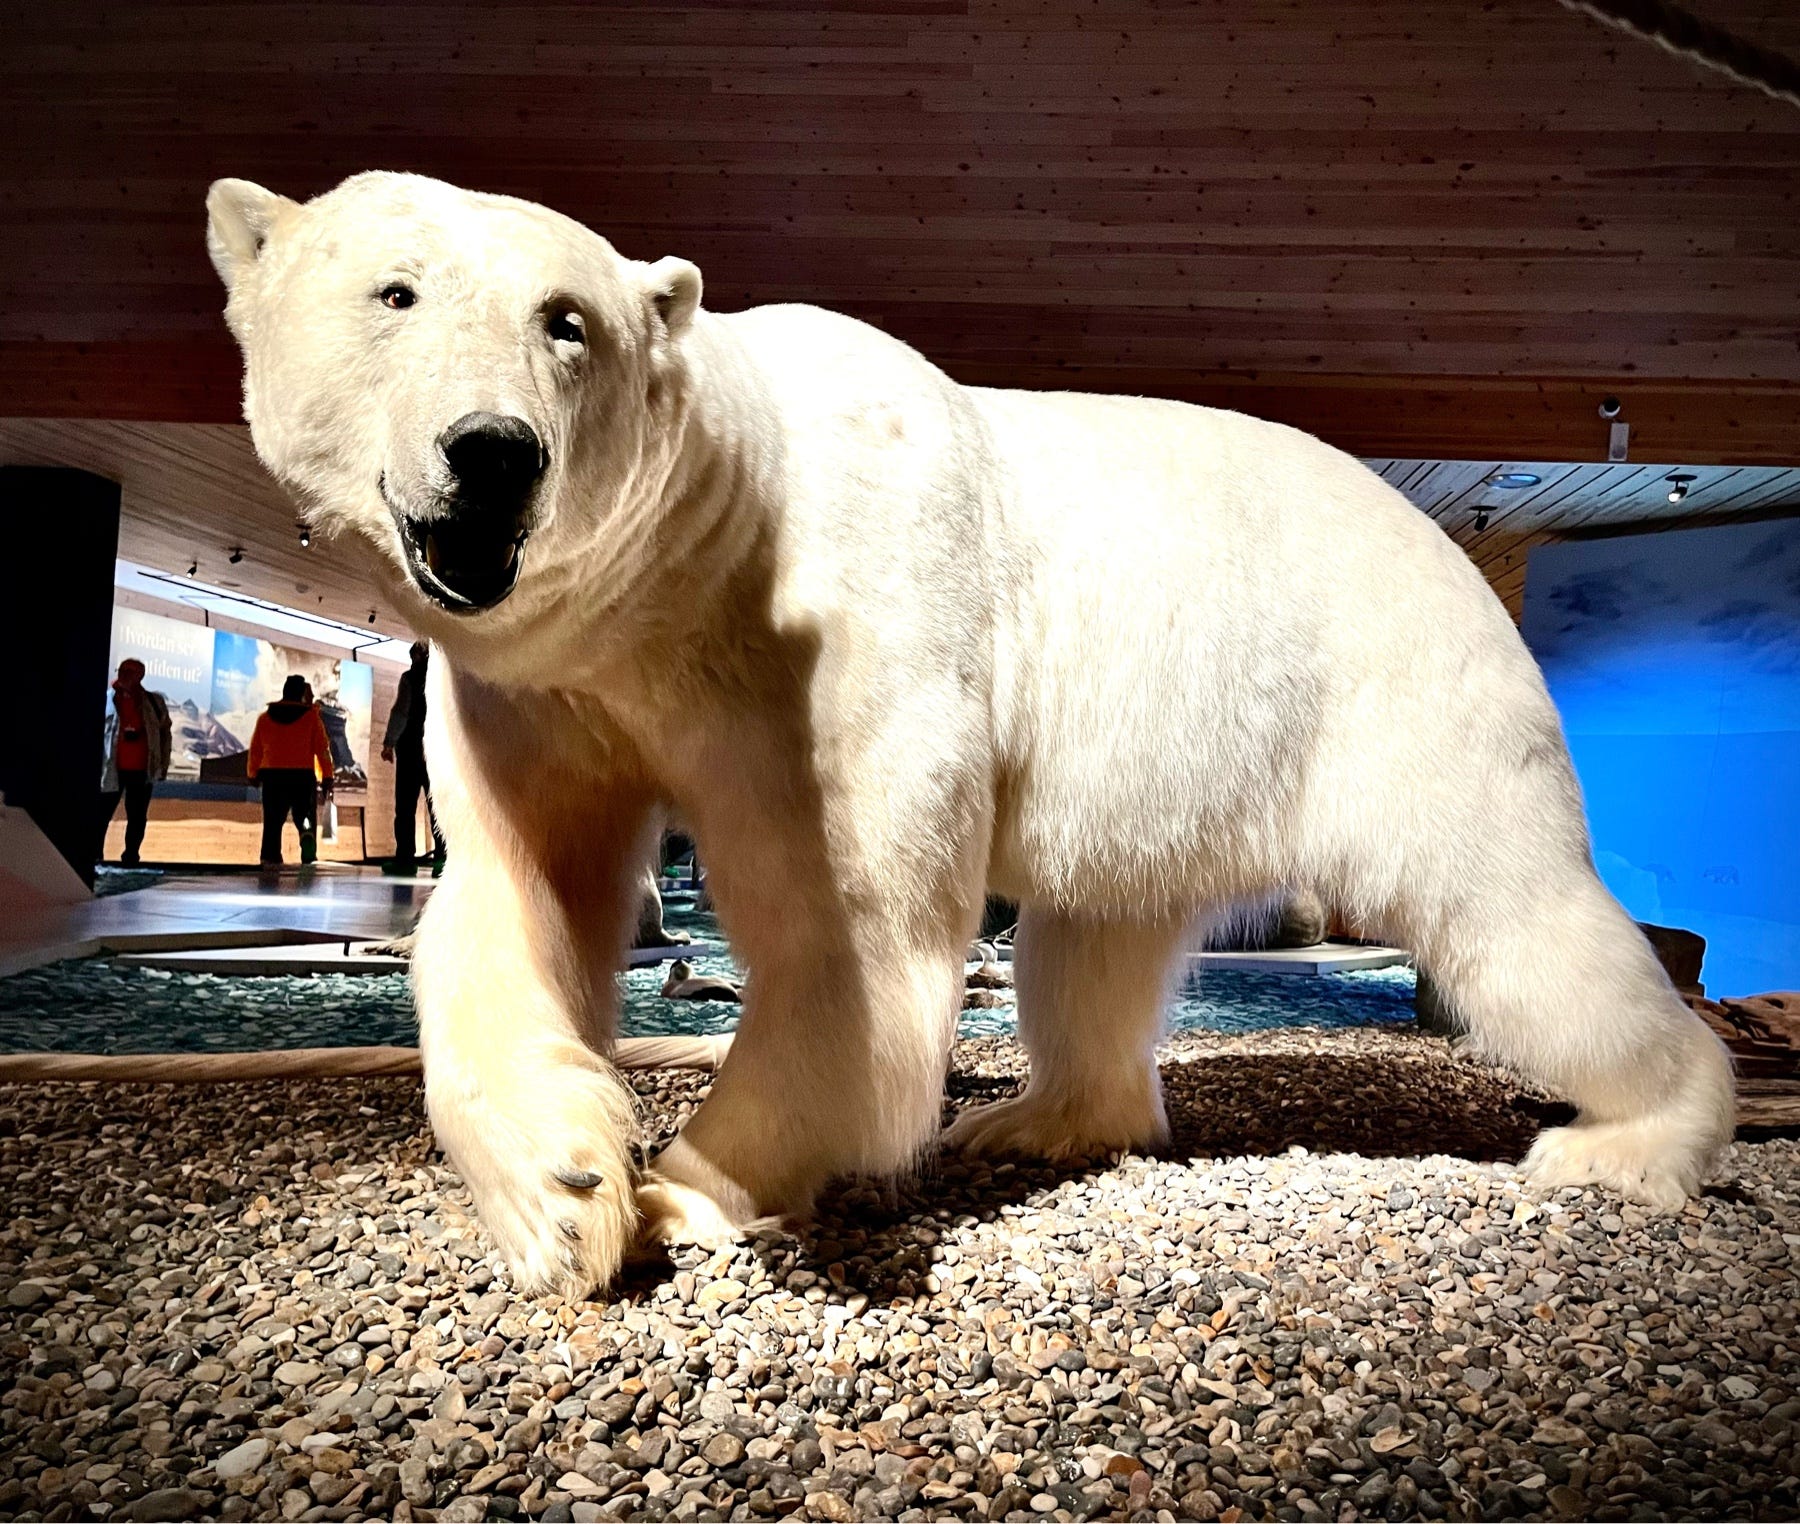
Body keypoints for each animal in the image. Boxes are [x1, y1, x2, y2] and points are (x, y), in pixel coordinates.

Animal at [206, 171, 1735, 1296]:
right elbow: (520, 894)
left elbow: (852, 943)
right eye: (394, 289)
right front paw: (559, 1188)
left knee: (1514, 921)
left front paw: (689, 1193)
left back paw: (1629, 1142)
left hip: (1401, 694)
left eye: (564, 319)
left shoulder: (844, 631)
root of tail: (1455, 552)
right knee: (1097, 941)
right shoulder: (549, 689)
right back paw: (1037, 1117)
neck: (696, 566)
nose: (492, 452)